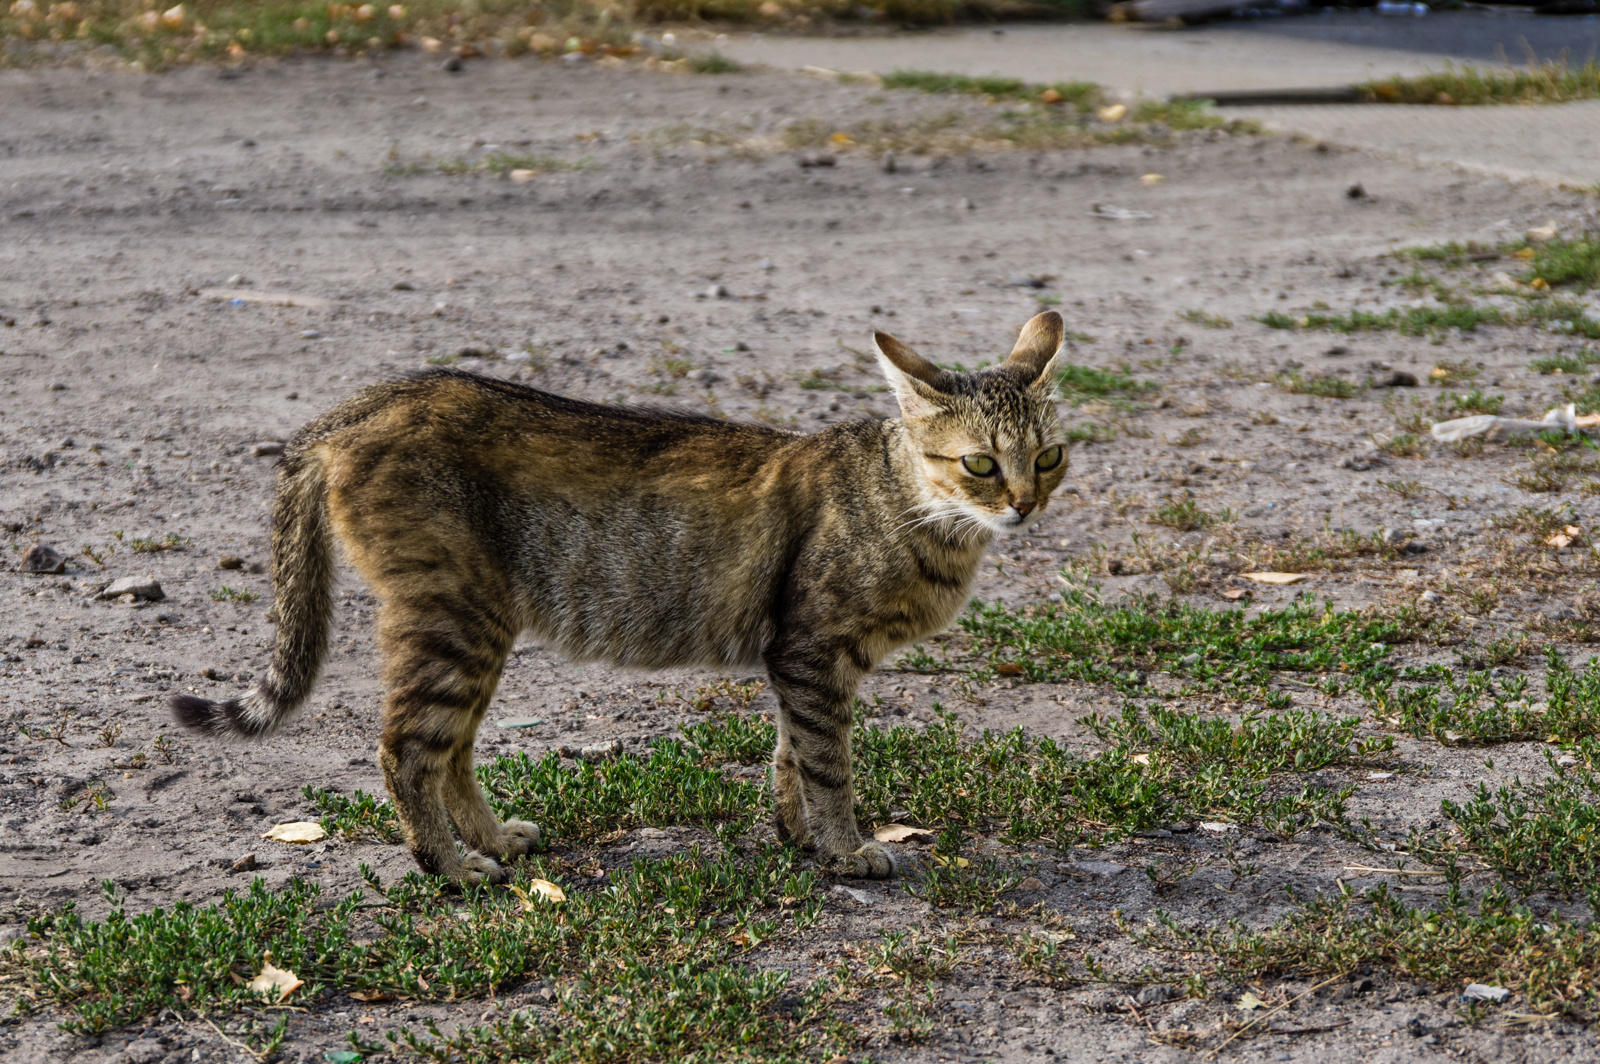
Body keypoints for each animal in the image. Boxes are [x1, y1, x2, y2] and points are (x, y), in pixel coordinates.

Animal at [172, 310, 1070, 885]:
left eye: (1050, 456)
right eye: (981, 464)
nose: (1026, 504)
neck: (917, 512)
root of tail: (360, 405)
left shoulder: (802, 663)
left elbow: (790, 756)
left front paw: (799, 840)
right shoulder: (813, 652)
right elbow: (827, 764)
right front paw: (848, 849)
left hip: (476, 628)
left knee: (452, 751)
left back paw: (496, 839)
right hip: (454, 621)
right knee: (406, 750)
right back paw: (453, 868)